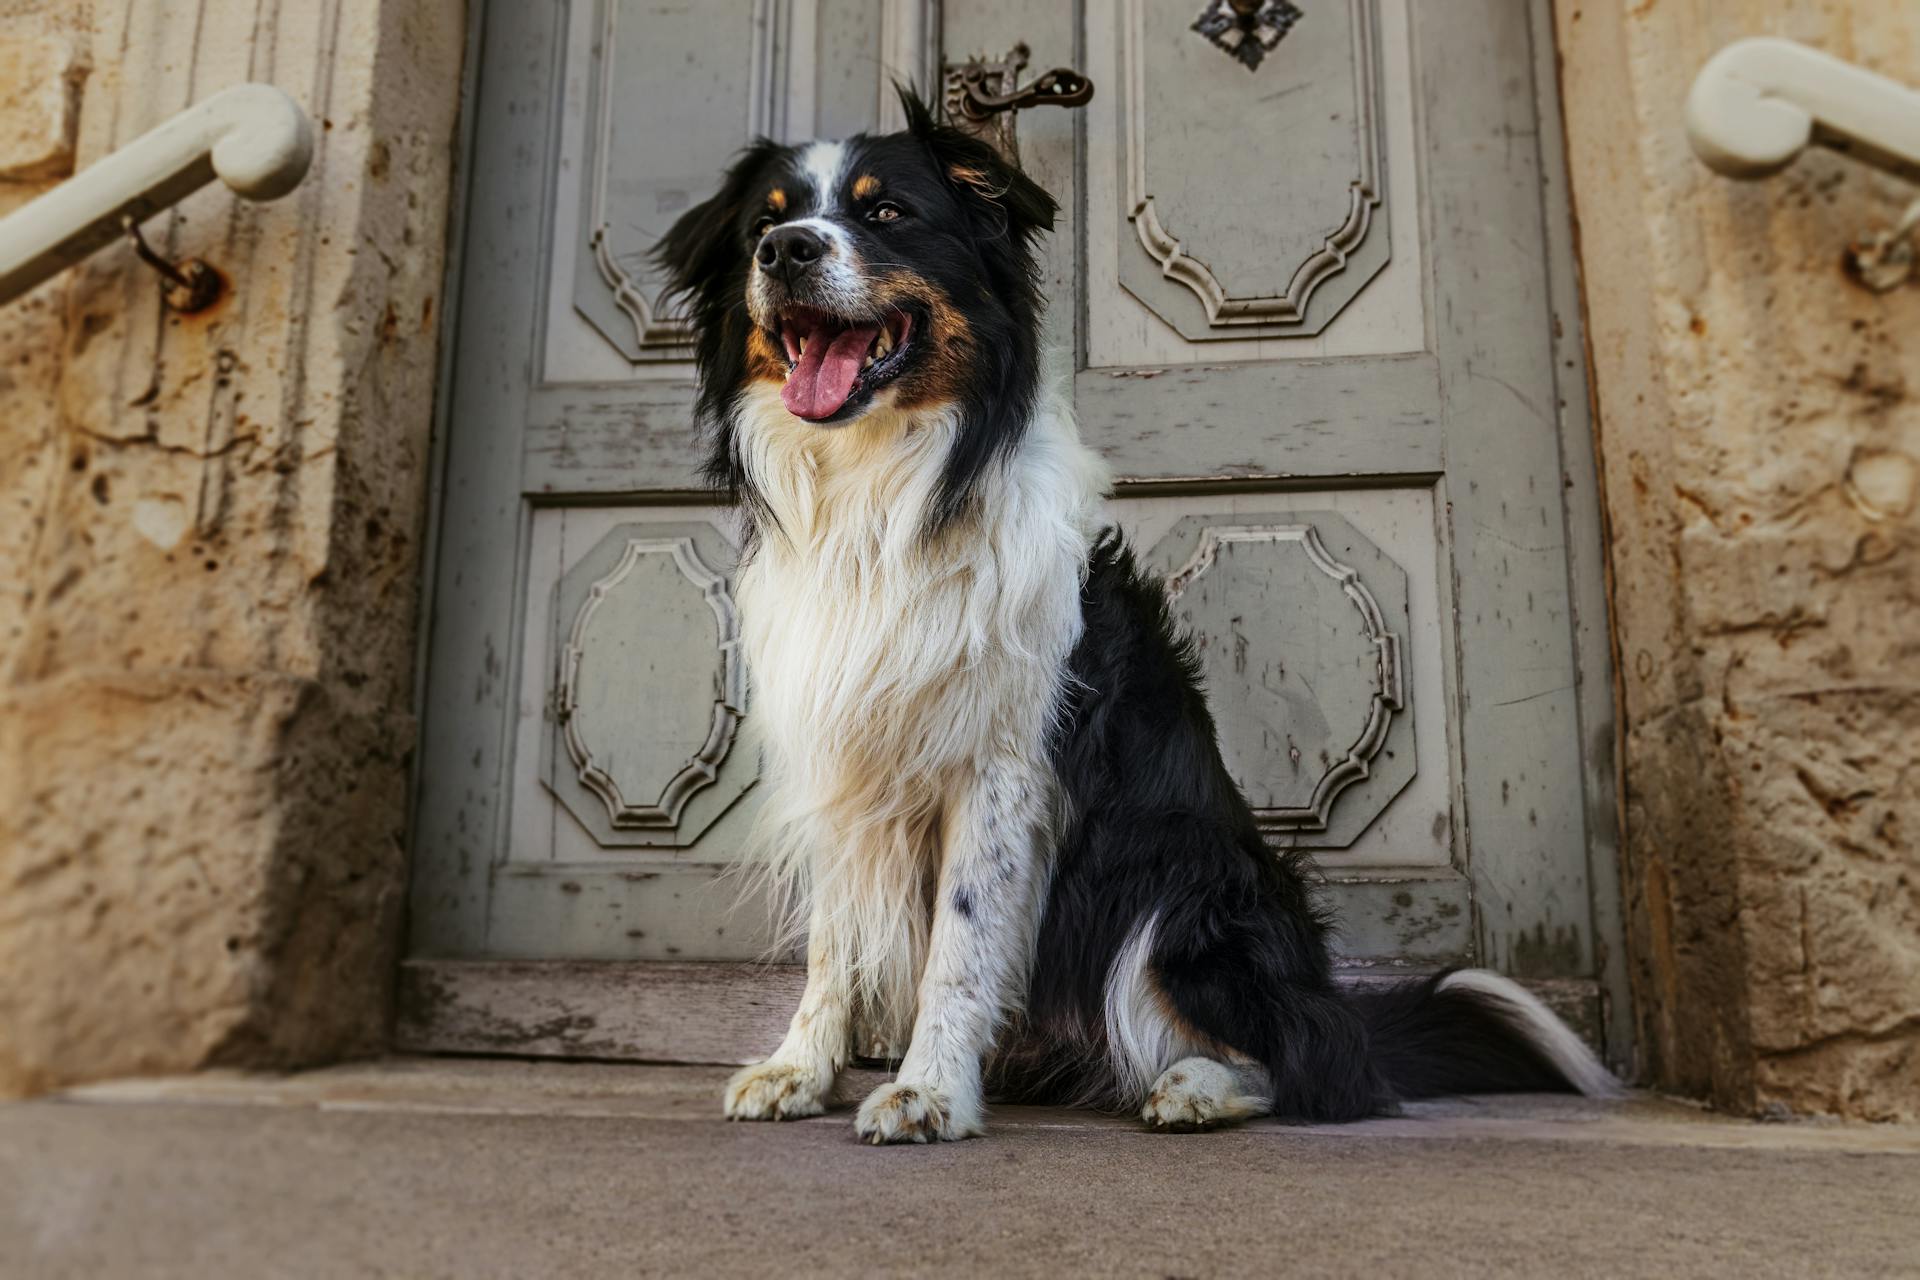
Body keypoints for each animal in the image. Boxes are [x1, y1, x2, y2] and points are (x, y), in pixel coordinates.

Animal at [652, 87, 1612, 1151]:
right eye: (764, 224)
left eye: (887, 212)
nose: (787, 252)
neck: (882, 492)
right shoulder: (843, 757)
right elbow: (836, 943)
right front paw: (800, 1069)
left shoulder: (1004, 767)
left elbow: (961, 942)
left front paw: (929, 1091)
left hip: (1180, 882)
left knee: (1313, 1063)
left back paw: (1196, 1088)